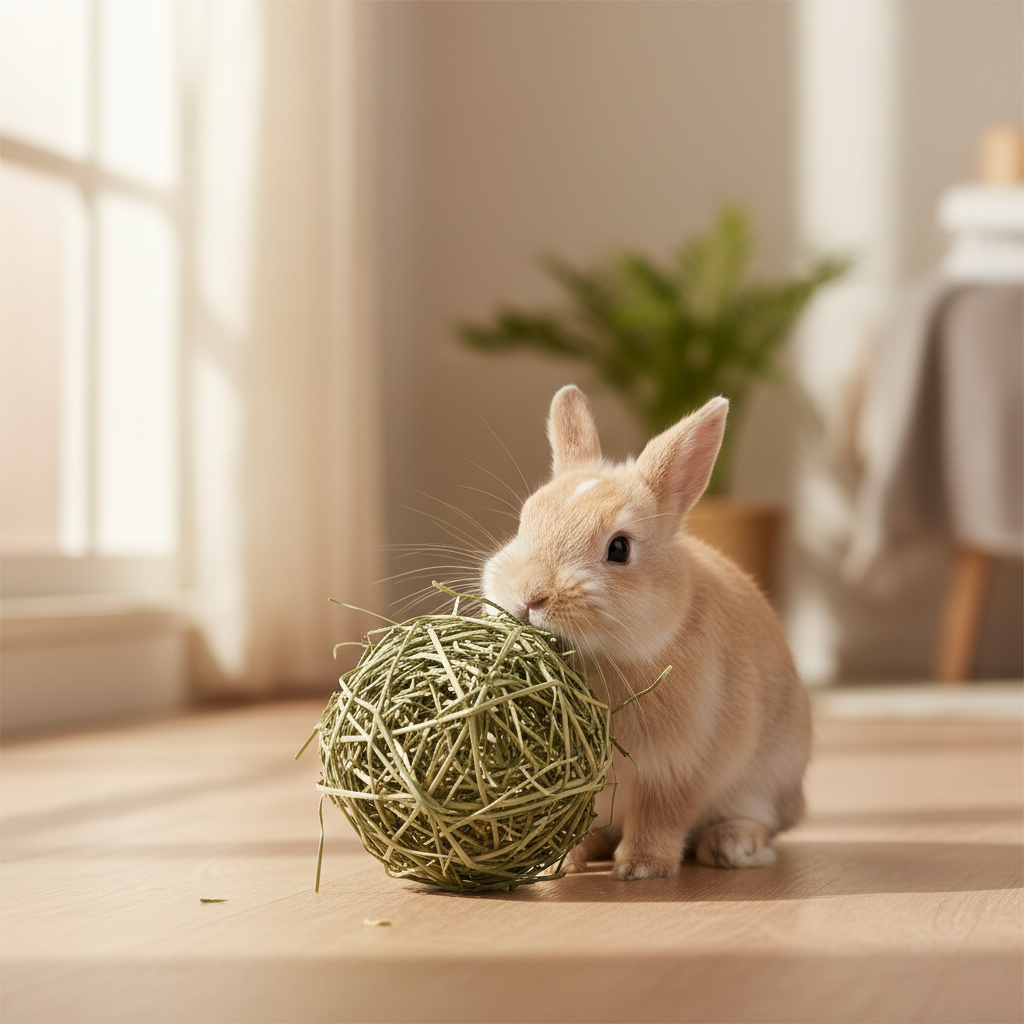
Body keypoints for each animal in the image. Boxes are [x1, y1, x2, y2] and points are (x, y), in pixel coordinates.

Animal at [481, 385, 811, 880]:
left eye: (619, 548)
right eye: (524, 523)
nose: (530, 596)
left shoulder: (679, 767)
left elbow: (661, 815)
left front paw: (641, 868)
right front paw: (562, 863)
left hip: (768, 779)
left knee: (762, 822)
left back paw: (730, 846)